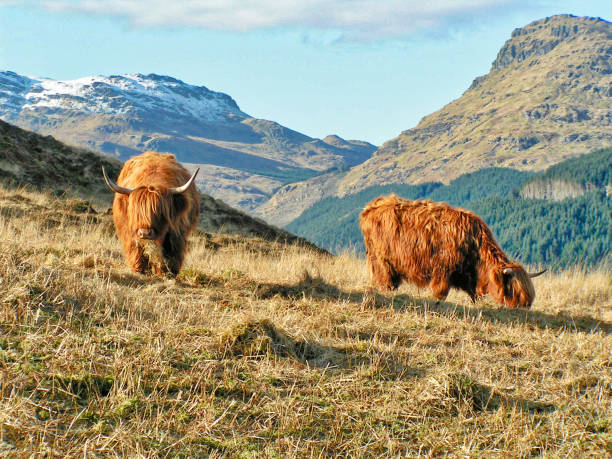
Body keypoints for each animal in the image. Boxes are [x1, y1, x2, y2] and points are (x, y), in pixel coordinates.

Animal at [358, 195, 544, 310]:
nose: (526, 306)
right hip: (381, 261)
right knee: (385, 279)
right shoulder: (442, 271)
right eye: (515, 290)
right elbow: (440, 293)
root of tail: (371, 206)